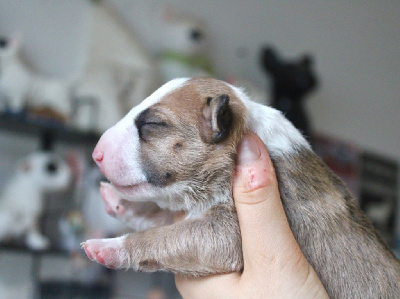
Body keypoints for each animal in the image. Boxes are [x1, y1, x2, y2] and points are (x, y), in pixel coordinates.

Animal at [82, 77, 400, 298]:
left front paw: (109, 246)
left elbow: (162, 236)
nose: (96, 152)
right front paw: (121, 203)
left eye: (154, 124)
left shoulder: (226, 234)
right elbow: (160, 216)